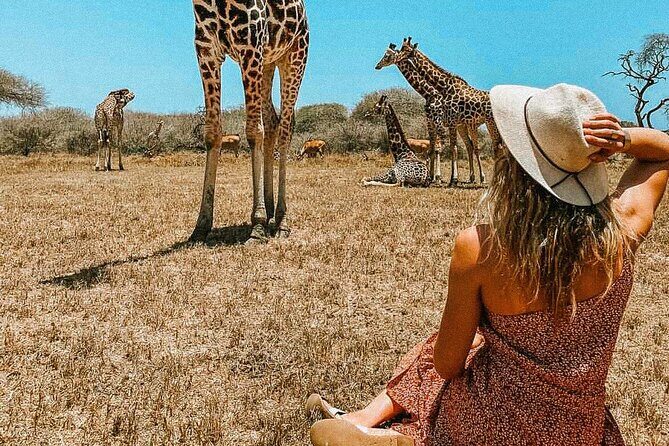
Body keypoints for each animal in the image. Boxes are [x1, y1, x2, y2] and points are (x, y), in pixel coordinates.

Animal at [191, 0, 309, 243]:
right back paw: (271, 211)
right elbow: (212, 133)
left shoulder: (250, 43)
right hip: (268, 63)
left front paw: (257, 225)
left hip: (294, 56)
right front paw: (201, 225)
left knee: (286, 128)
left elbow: (254, 130)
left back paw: (281, 220)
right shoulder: (206, 48)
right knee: (273, 121)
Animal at [400, 37, 503, 184]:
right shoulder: (444, 123)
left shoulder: (449, 122)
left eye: (405, 49)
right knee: (479, 146)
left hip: (486, 123)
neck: (442, 87)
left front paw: (450, 179)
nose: (397, 56)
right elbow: (442, 147)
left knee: (490, 147)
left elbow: (450, 147)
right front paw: (440, 178)